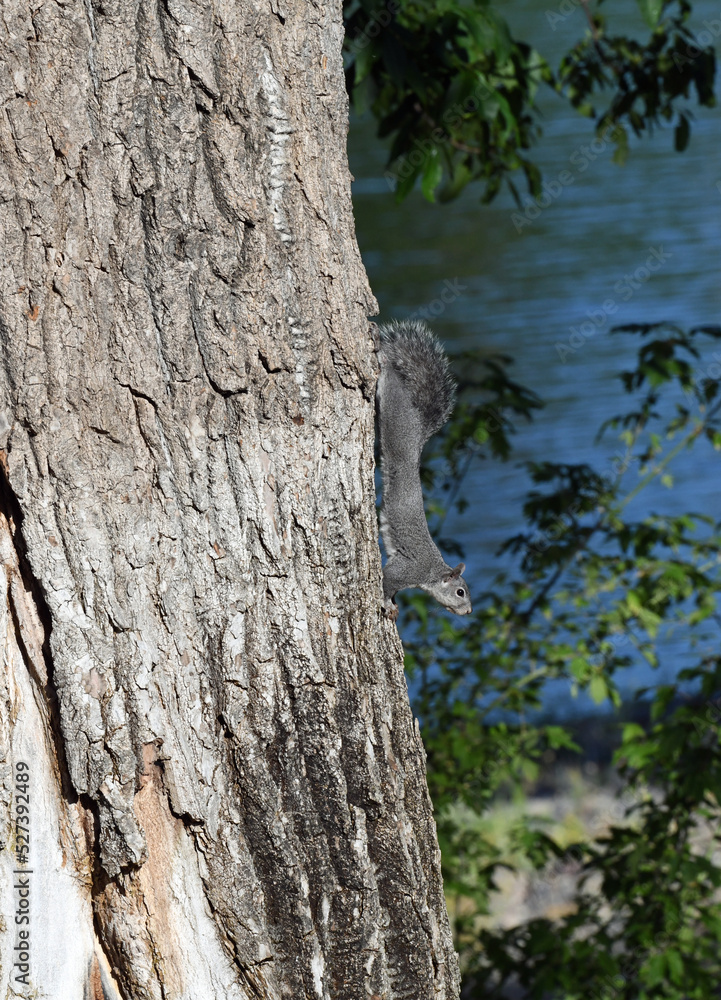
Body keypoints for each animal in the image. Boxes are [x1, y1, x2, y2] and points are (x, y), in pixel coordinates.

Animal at [376, 320, 472, 621]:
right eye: (460, 592)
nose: (469, 611)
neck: (431, 573)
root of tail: (418, 432)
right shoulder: (405, 570)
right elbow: (386, 583)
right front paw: (388, 605)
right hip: (395, 417)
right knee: (391, 381)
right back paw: (383, 362)